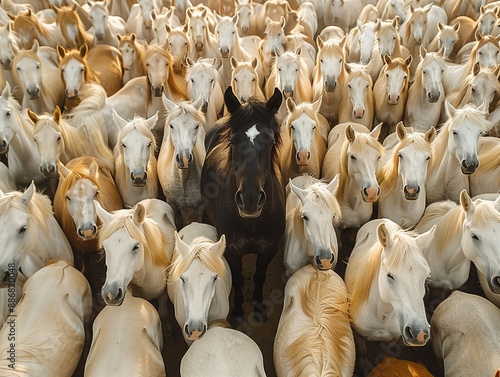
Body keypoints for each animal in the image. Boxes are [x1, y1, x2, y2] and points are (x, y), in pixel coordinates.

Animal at [200, 86, 286, 324]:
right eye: (233, 141)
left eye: (270, 142)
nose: (250, 200)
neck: (251, 225)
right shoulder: (231, 252)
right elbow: (238, 279)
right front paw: (238, 312)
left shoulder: (269, 250)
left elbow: (259, 276)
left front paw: (258, 307)